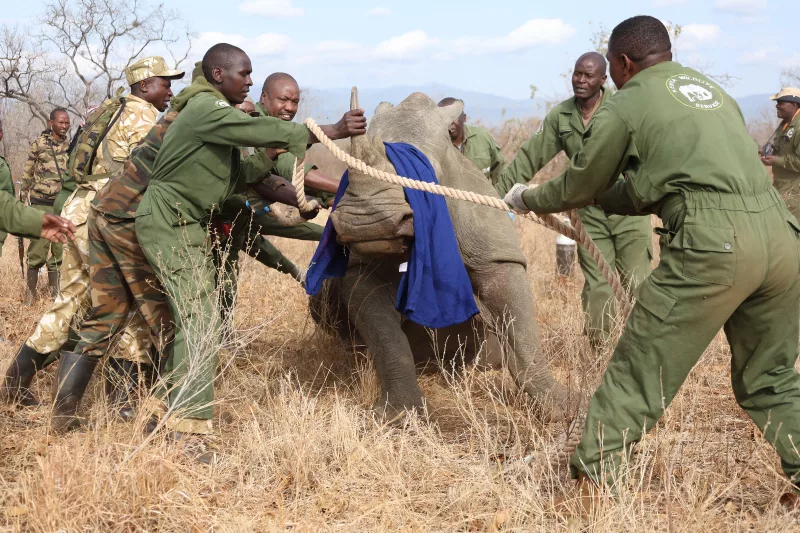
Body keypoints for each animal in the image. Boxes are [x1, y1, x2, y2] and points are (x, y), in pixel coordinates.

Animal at [310, 93, 569, 423]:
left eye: (424, 176)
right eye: (347, 172)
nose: (365, 221)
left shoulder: (497, 254)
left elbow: (521, 330)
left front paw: (563, 406)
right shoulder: (360, 266)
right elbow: (385, 335)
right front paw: (402, 415)